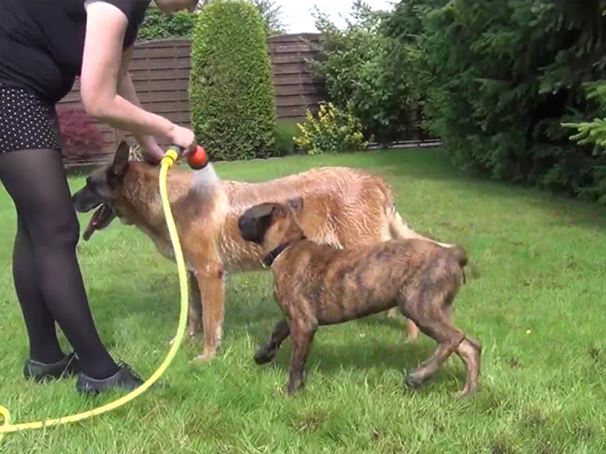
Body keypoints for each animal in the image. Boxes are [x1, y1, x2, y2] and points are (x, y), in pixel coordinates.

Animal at [73, 142, 454, 362]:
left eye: (90, 184)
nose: (71, 200)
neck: (168, 198)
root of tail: (376, 181)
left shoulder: (211, 273)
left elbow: (211, 323)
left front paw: (207, 358)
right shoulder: (194, 274)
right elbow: (194, 316)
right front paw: (183, 345)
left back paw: (410, 339)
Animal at [240, 199, 482, 398]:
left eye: (245, 217)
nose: (236, 221)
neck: (287, 246)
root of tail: (452, 254)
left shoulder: (303, 323)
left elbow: (296, 363)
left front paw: (291, 393)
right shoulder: (295, 316)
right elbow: (277, 332)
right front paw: (263, 355)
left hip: (418, 306)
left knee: (453, 338)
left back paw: (418, 376)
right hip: (438, 309)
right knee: (469, 346)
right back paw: (467, 393)